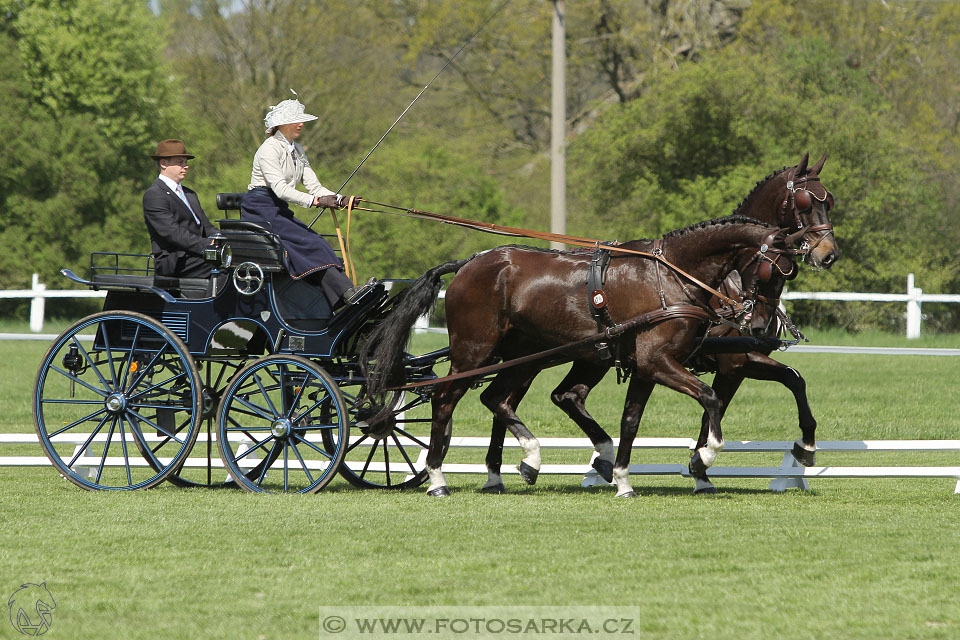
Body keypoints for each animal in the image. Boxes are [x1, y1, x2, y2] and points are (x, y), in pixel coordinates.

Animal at [364, 218, 792, 498]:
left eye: (788, 273)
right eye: (771, 270)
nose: (758, 324)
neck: (672, 277)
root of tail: (470, 263)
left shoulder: (647, 367)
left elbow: (631, 421)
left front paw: (622, 479)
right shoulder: (658, 362)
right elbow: (710, 398)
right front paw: (704, 457)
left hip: (523, 357)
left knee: (496, 399)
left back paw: (525, 461)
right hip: (474, 353)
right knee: (445, 400)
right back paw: (437, 479)